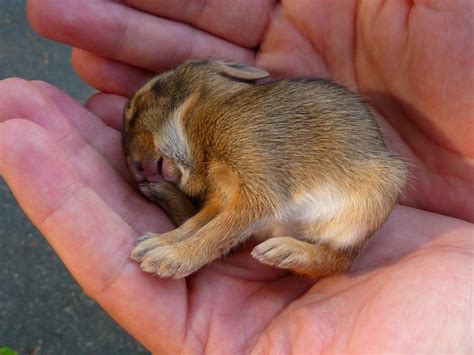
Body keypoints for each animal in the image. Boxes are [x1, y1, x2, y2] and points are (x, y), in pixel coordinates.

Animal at [122, 59, 408, 280]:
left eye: (151, 94)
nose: (135, 169)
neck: (204, 115)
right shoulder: (224, 198)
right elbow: (197, 224)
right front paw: (158, 243)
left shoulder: (256, 191)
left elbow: (215, 233)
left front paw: (168, 259)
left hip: (369, 206)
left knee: (337, 263)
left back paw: (285, 252)